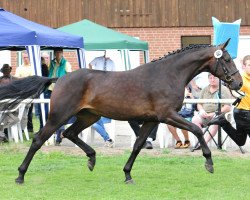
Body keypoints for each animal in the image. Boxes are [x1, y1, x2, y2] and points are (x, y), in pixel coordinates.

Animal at [0, 39, 242, 184]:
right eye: (227, 59)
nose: (239, 83)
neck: (168, 75)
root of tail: (58, 78)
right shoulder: (167, 116)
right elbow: (198, 129)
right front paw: (209, 163)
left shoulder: (152, 120)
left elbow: (138, 145)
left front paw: (127, 174)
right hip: (59, 115)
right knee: (39, 139)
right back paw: (20, 175)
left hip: (90, 116)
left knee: (70, 133)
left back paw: (91, 159)